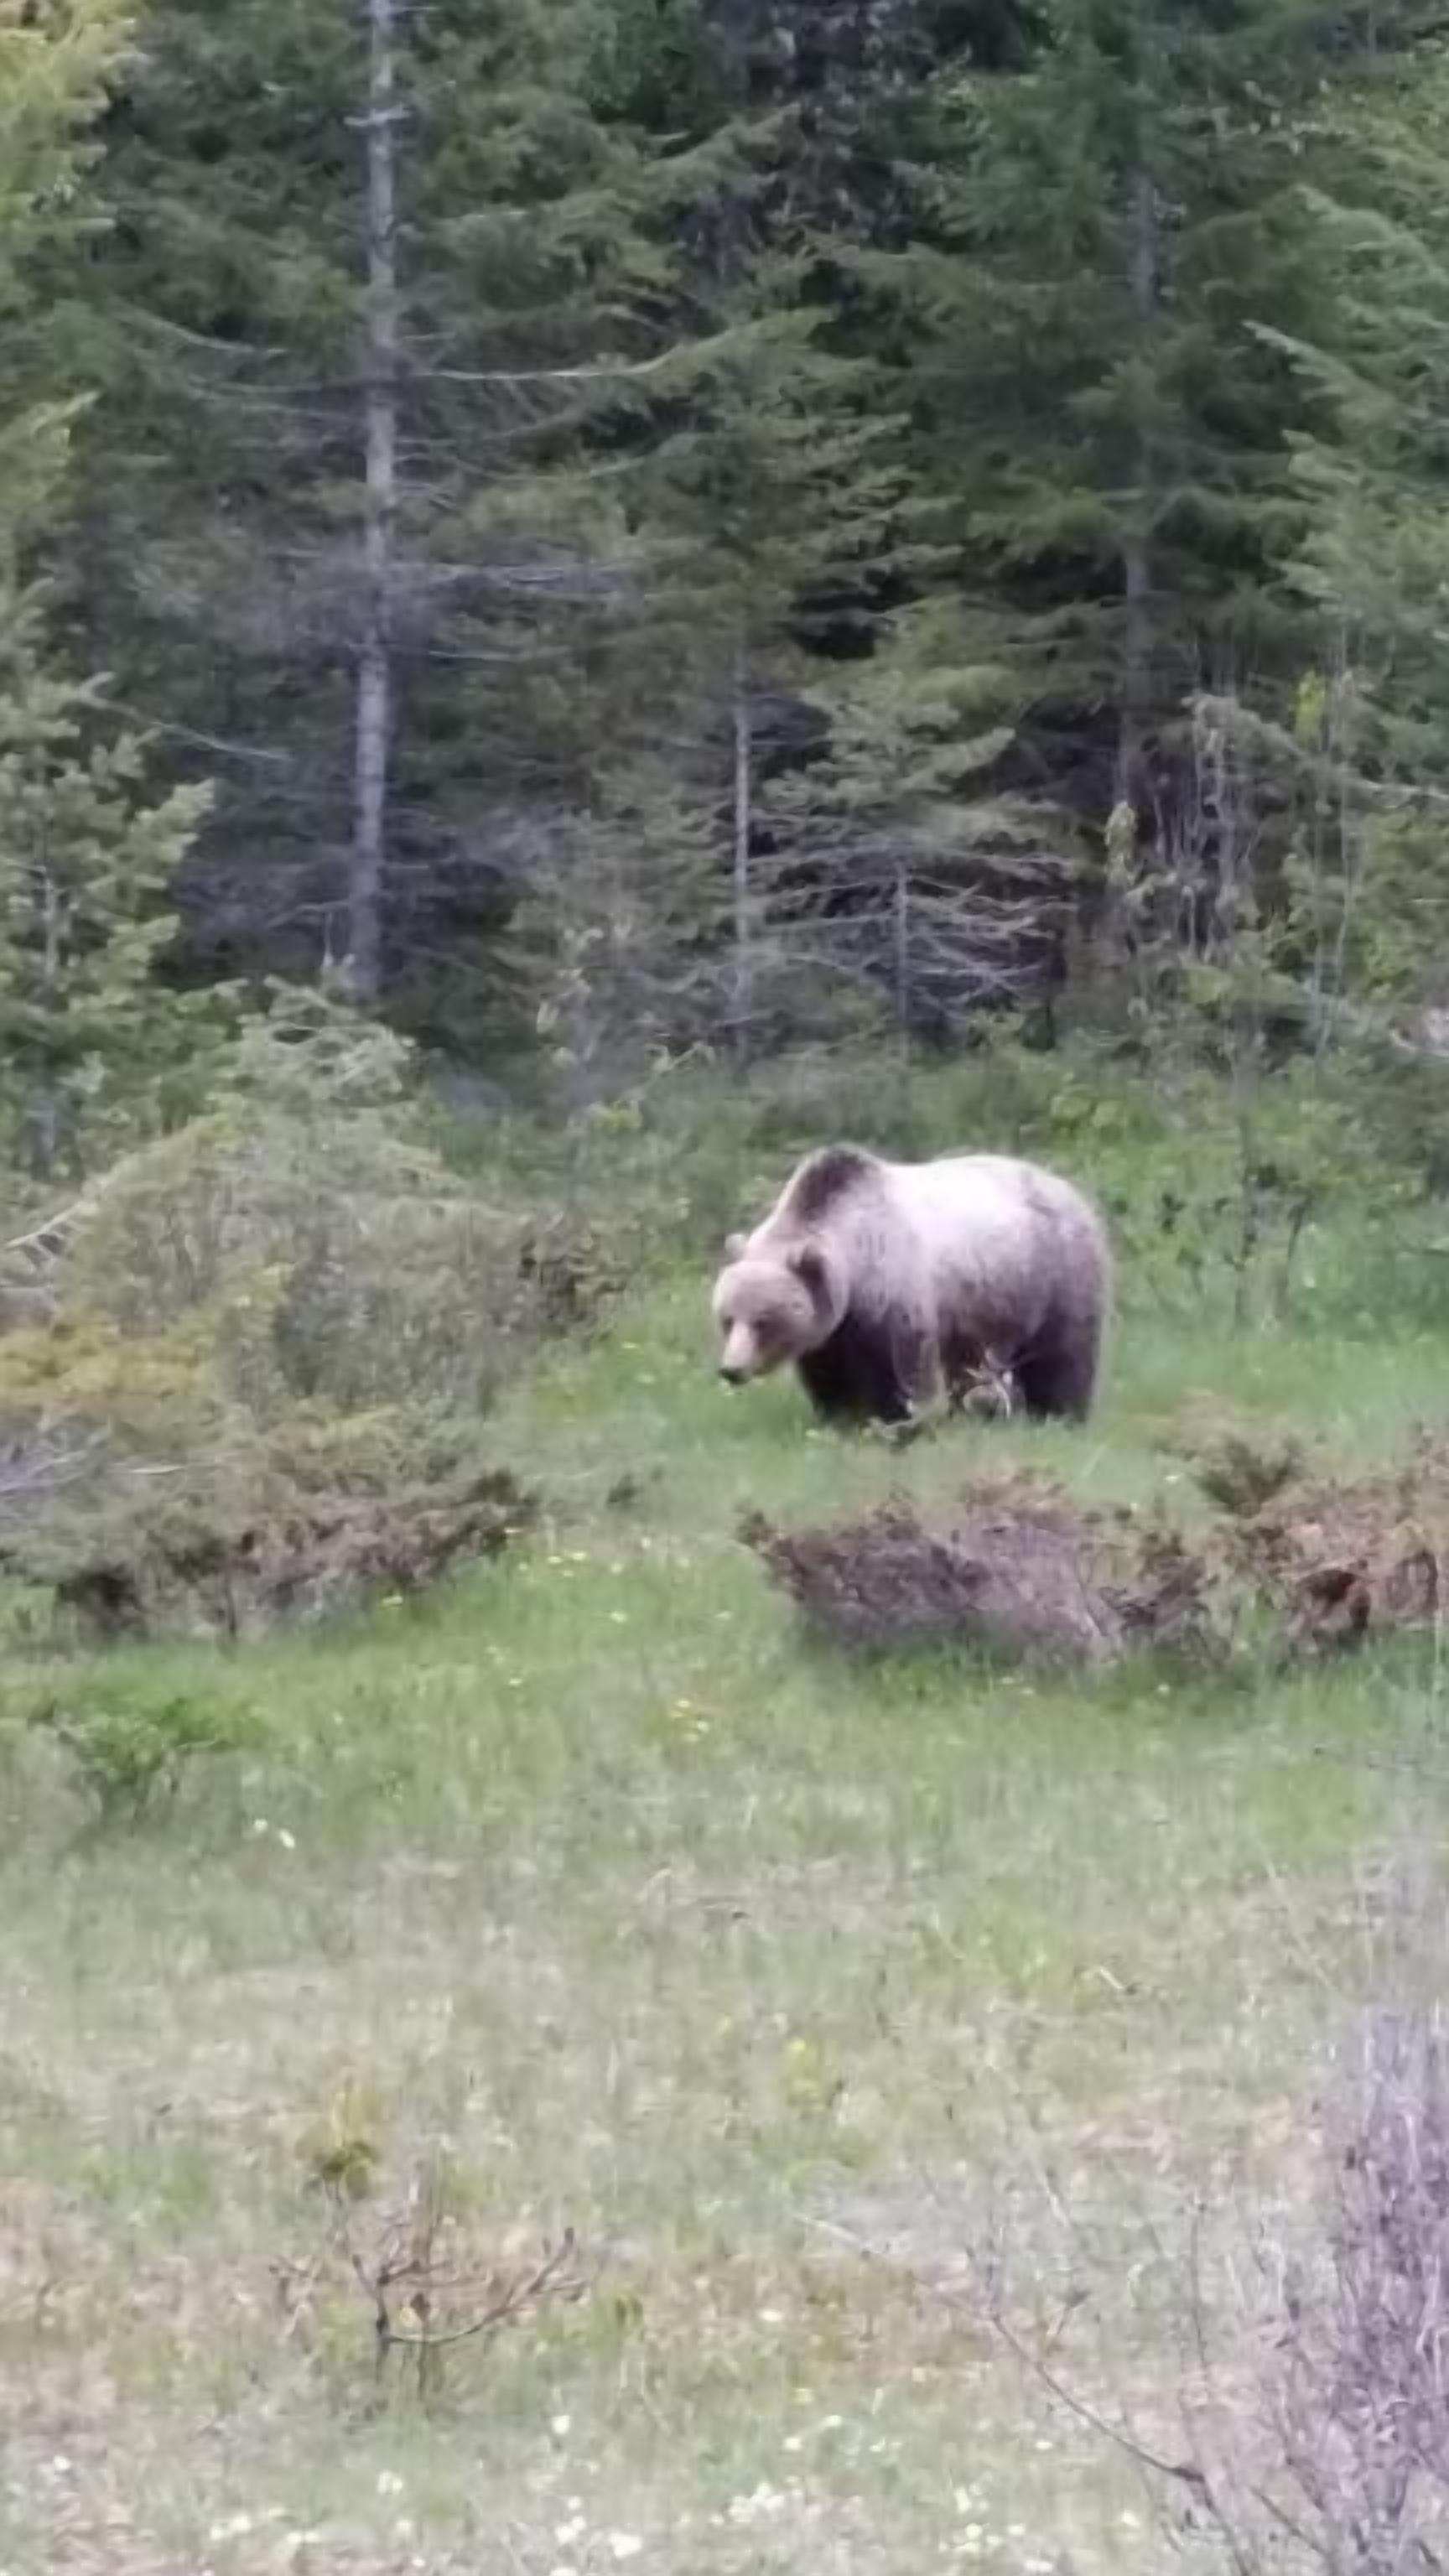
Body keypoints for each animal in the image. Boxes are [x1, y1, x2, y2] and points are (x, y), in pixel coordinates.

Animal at [711, 1143, 1109, 1428]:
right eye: (727, 1319)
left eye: (763, 1321)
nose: (731, 1369)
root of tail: (1066, 1186)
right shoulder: (832, 1325)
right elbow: (828, 1371)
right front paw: (840, 1418)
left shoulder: (891, 1288)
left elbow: (902, 1365)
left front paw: (898, 1416)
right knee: (971, 1364)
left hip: (1057, 1271)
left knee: (1062, 1353)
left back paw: (1058, 1413)